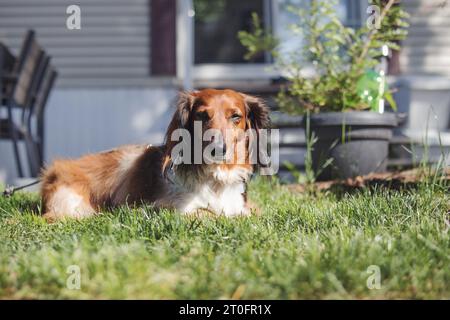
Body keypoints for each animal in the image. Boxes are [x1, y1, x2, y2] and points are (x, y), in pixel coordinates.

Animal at [40, 89, 268, 221]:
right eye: (202, 115)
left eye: (236, 116)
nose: (218, 149)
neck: (216, 178)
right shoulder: (168, 207)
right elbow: (211, 214)